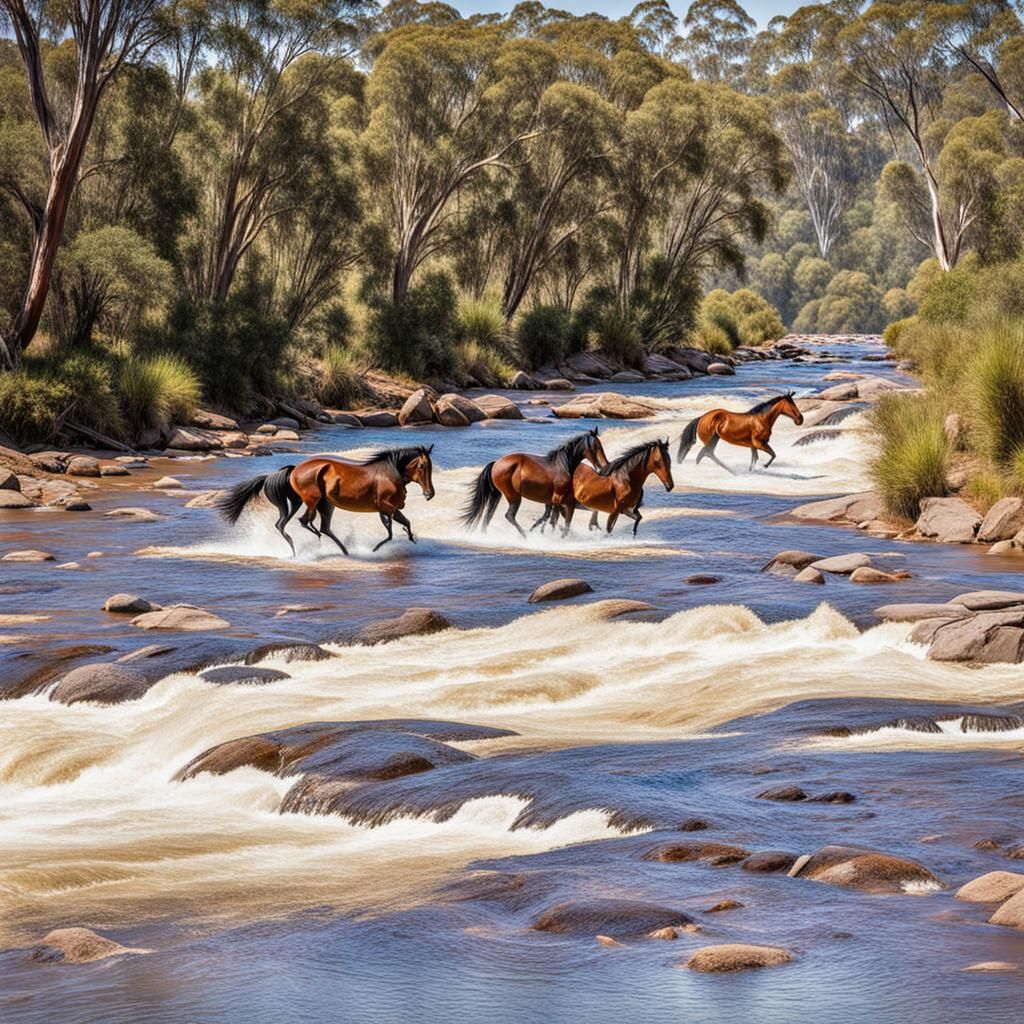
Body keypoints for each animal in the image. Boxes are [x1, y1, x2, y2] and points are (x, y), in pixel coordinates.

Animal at [216, 445, 435, 555]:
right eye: (422, 466)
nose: (429, 494)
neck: (391, 473)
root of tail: (293, 469)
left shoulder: (391, 509)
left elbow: (405, 523)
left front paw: (411, 538)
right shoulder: (385, 507)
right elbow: (389, 532)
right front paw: (375, 548)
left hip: (318, 503)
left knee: (298, 525)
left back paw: (339, 550)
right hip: (313, 501)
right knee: (305, 522)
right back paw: (309, 546)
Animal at [460, 428, 608, 538]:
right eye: (594, 446)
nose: (603, 466)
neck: (562, 466)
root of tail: (496, 463)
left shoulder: (553, 501)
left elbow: (550, 517)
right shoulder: (560, 499)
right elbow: (557, 519)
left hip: (497, 495)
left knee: (488, 516)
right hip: (513, 496)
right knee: (509, 515)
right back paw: (525, 536)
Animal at [544, 438, 675, 536]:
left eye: (669, 460)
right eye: (658, 461)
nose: (670, 486)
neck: (626, 480)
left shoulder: (626, 510)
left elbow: (638, 518)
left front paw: (633, 534)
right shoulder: (615, 510)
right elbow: (608, 528)